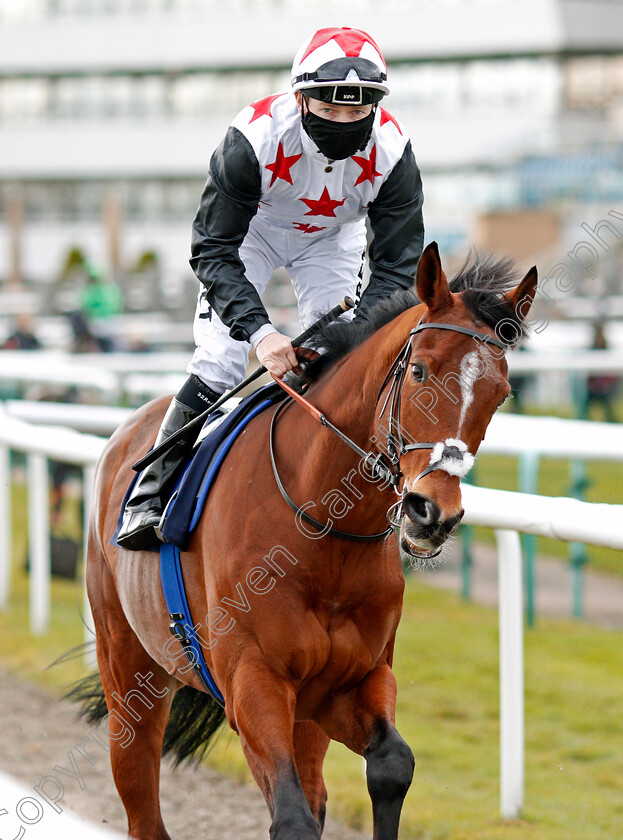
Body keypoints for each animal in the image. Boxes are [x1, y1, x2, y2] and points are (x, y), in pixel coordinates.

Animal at [77, 244, 536, 840]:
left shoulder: (349, 682)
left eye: (501, 394)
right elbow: (291, 814)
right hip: (129, 674)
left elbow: (392, 765)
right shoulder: (253, 683)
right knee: (141, 800)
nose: (433, 513)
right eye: (418, 370)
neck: (323, 533)